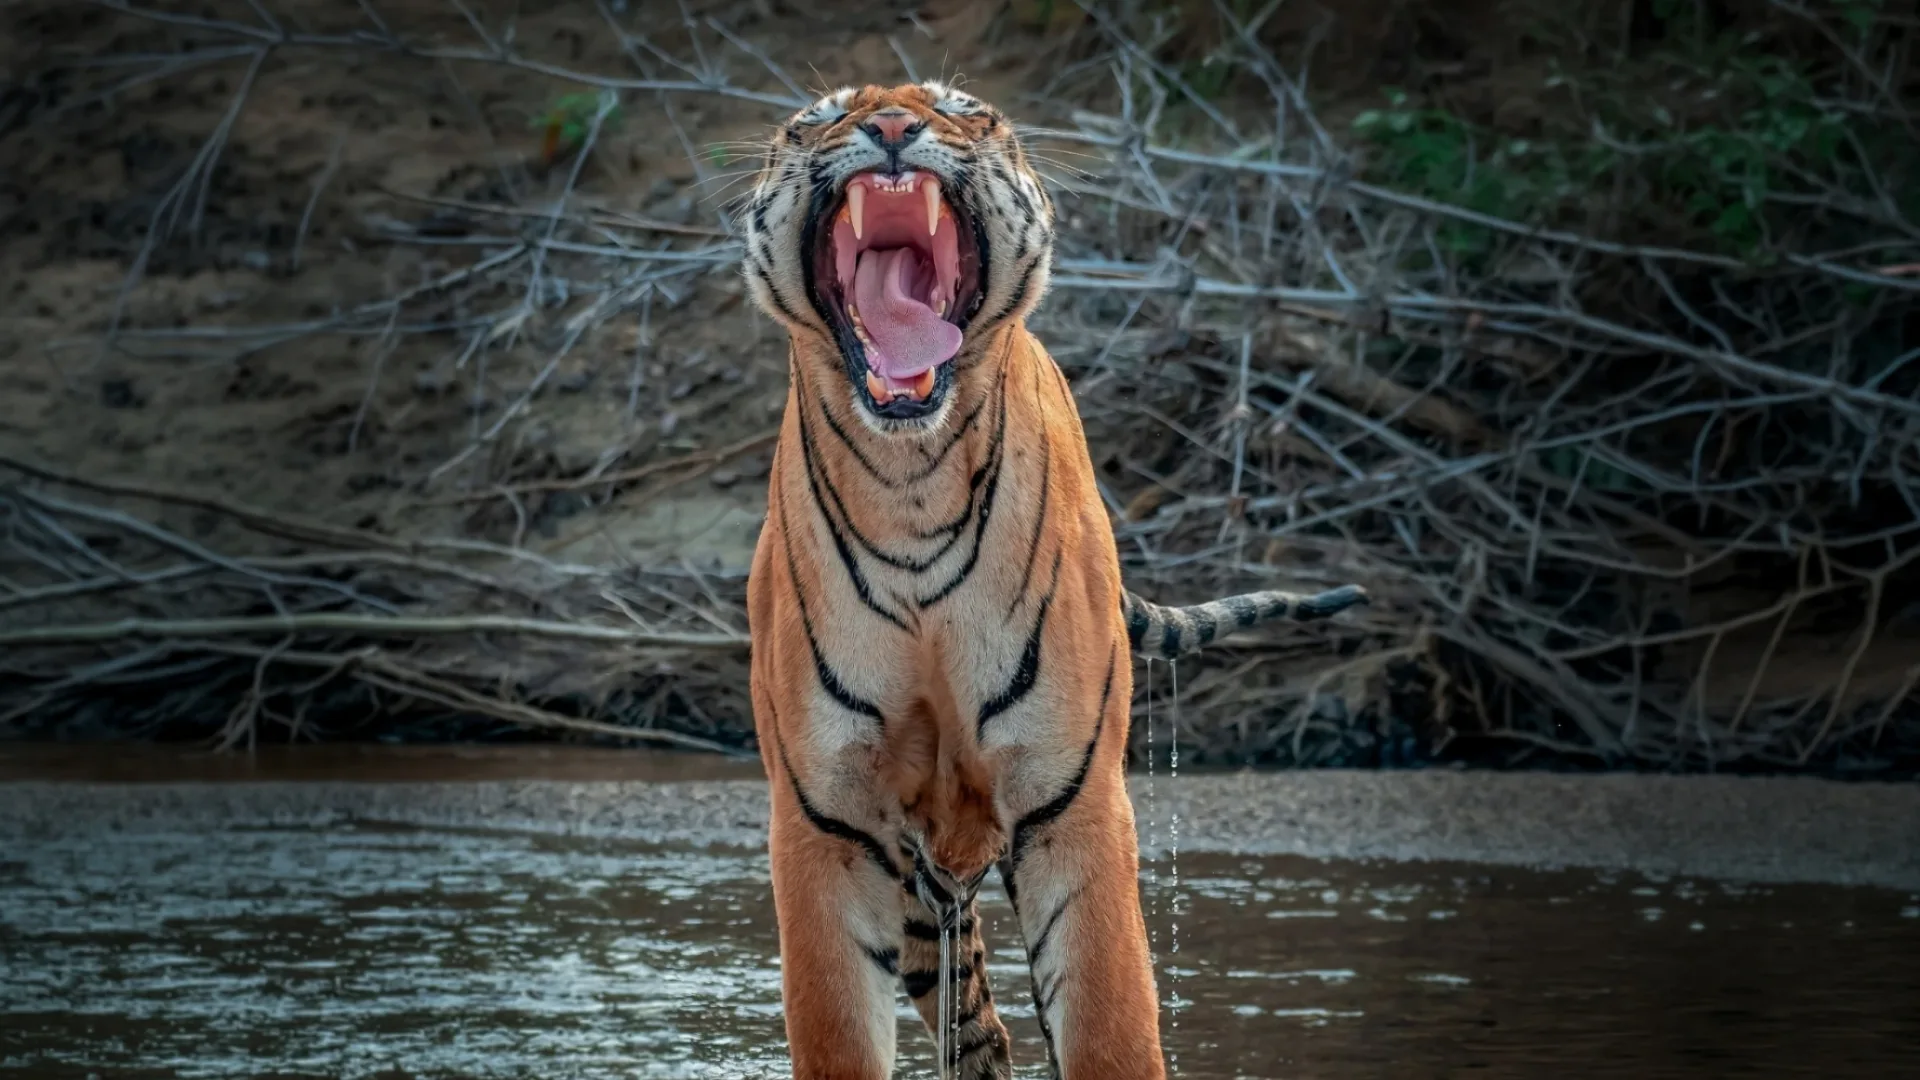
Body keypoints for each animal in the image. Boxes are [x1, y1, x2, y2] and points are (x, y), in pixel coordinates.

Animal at [738, 81, 1369, 1080]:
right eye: (823, 116)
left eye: (961, 110)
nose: (890, 125)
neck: (910, 486)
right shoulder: (825, 823)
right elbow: (838, 1034)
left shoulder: (1075, 806)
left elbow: (1111, 1027)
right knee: (977, 1030)